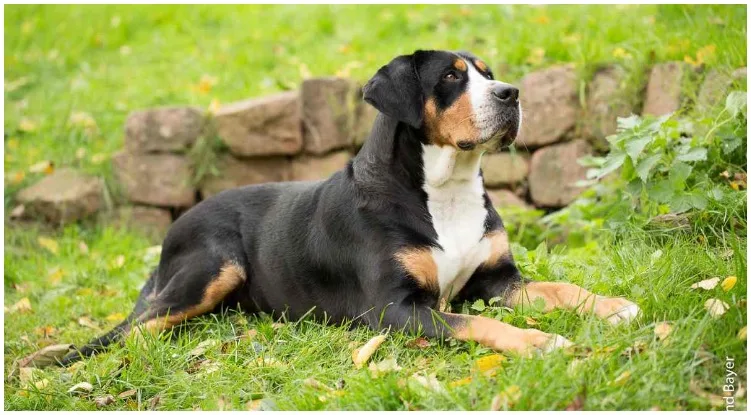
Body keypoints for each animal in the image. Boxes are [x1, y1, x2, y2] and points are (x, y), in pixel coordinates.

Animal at [63, 48, 640, 366]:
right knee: (133, 330)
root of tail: (178, 222)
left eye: (487, 72)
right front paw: (540, 341)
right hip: (210, 269)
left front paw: (613, 306)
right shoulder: (394, 308)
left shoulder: (497, 280)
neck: (446, 188)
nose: (512, 93)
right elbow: (475, 325)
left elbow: (561, 288)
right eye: (451, 77)